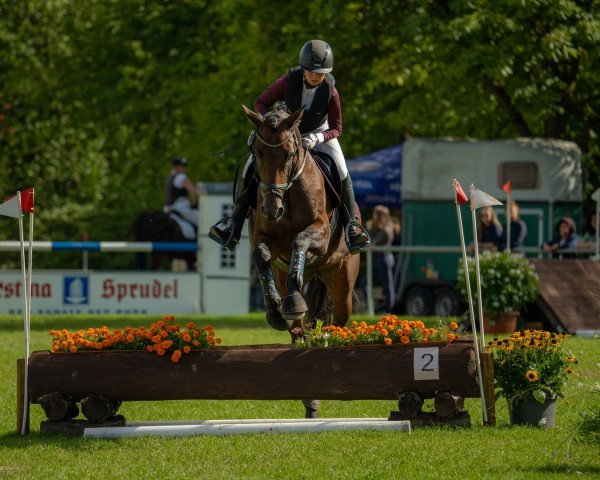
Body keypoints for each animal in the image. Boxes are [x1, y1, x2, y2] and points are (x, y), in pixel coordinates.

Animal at [241, 103, 358, 340]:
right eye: (258, 153)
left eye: (289, 154)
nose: (272, 210)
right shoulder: (263, 238)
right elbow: (261, 255)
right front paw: (276, 310)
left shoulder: (321, 233)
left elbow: (300, 240)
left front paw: (294, 298)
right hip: (284, 273)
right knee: (297, 330)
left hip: (342, 278)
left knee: (340, 320)